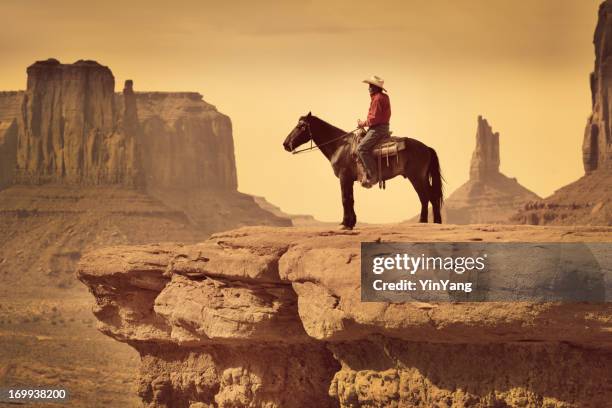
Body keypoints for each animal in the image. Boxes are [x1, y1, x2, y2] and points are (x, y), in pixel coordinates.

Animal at [284, 111, 442, 230]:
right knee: (432, 197)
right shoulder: (349, 180)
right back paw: (436, 222)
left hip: (416, 177)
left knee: (425, 197)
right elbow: (351, 199)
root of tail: (426, 147)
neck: (340, 146)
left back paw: (423, 222)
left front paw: (345, 224)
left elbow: (345, 199)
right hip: (421, 177)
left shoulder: (344, 177)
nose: (285, 144)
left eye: (300, 126)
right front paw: (350, 223)